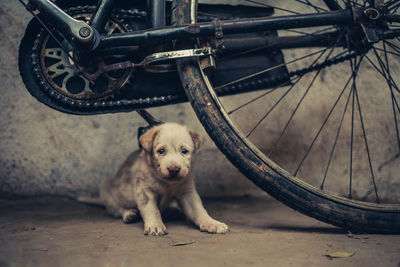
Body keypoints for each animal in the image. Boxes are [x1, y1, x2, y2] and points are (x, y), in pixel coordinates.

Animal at [98, 122, 228, 236]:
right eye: (161, 151)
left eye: (184, 151)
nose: (174, 169)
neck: (167, 184)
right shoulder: (145, 191)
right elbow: (152, 209)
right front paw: (155, 225)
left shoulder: (188, 192)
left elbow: (199, 210)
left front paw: (212, 223)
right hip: (106, 190)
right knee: (116, 208)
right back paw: (129, 213)